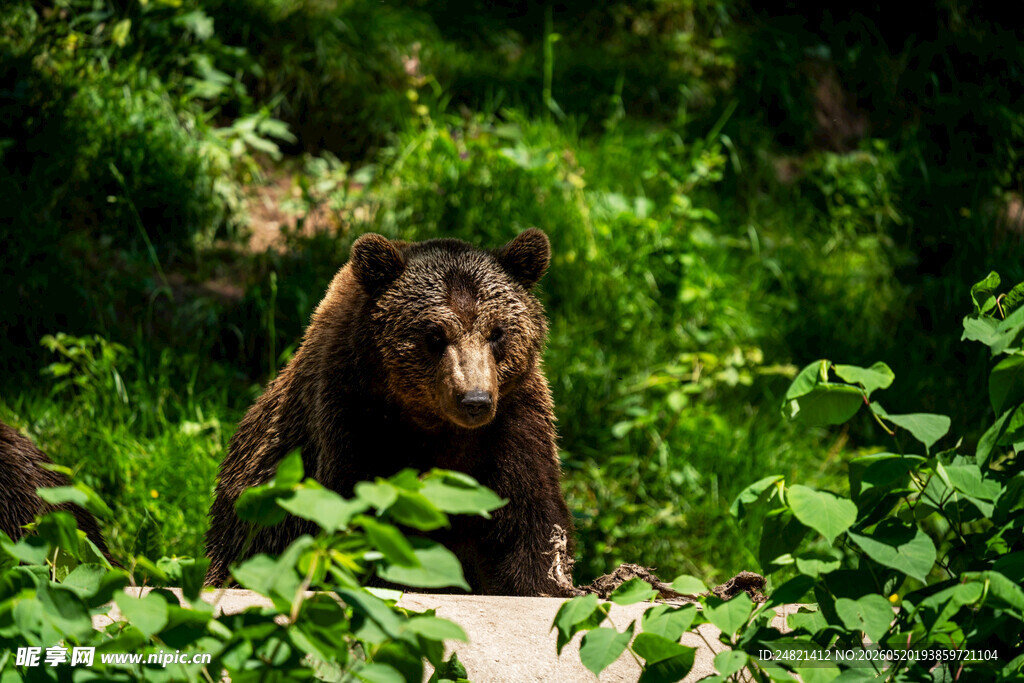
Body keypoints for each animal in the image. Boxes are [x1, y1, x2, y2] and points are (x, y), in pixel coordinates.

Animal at [204, 229, 576, 595]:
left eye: (497, 332)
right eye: (434, 335)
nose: (474, 400)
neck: (434, 426)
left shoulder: (512, 428)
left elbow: (530, 526)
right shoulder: (355, 422)